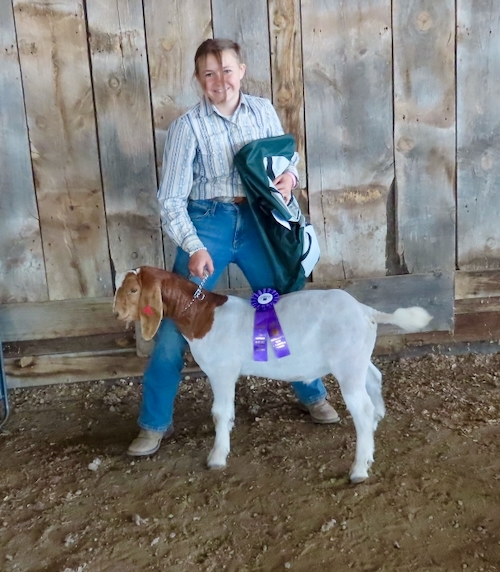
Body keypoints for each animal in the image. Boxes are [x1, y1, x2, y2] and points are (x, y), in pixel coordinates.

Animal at [114, 266, 433, 483]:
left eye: (133, 290)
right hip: (357, 357)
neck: (203, 316)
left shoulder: (222, 371)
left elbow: (220, 413)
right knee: (374, 378)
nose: (116, 315)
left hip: (347, 362)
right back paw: (376, 423)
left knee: (361, 409)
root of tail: (366, 311)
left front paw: (217, 456)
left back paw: (359, 468)